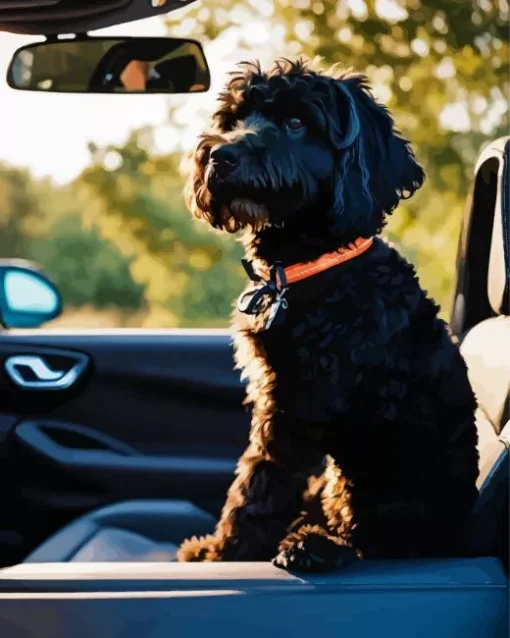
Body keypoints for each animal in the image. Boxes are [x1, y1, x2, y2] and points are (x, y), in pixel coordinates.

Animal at [175, 57, 478, 572]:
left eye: (298, 122)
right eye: (233, 119)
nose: (221, 156)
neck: (315, 266)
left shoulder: (300, 402)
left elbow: (258, 485)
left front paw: (225, 555)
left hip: (379, 493)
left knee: (371, 544)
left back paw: (314, 547)